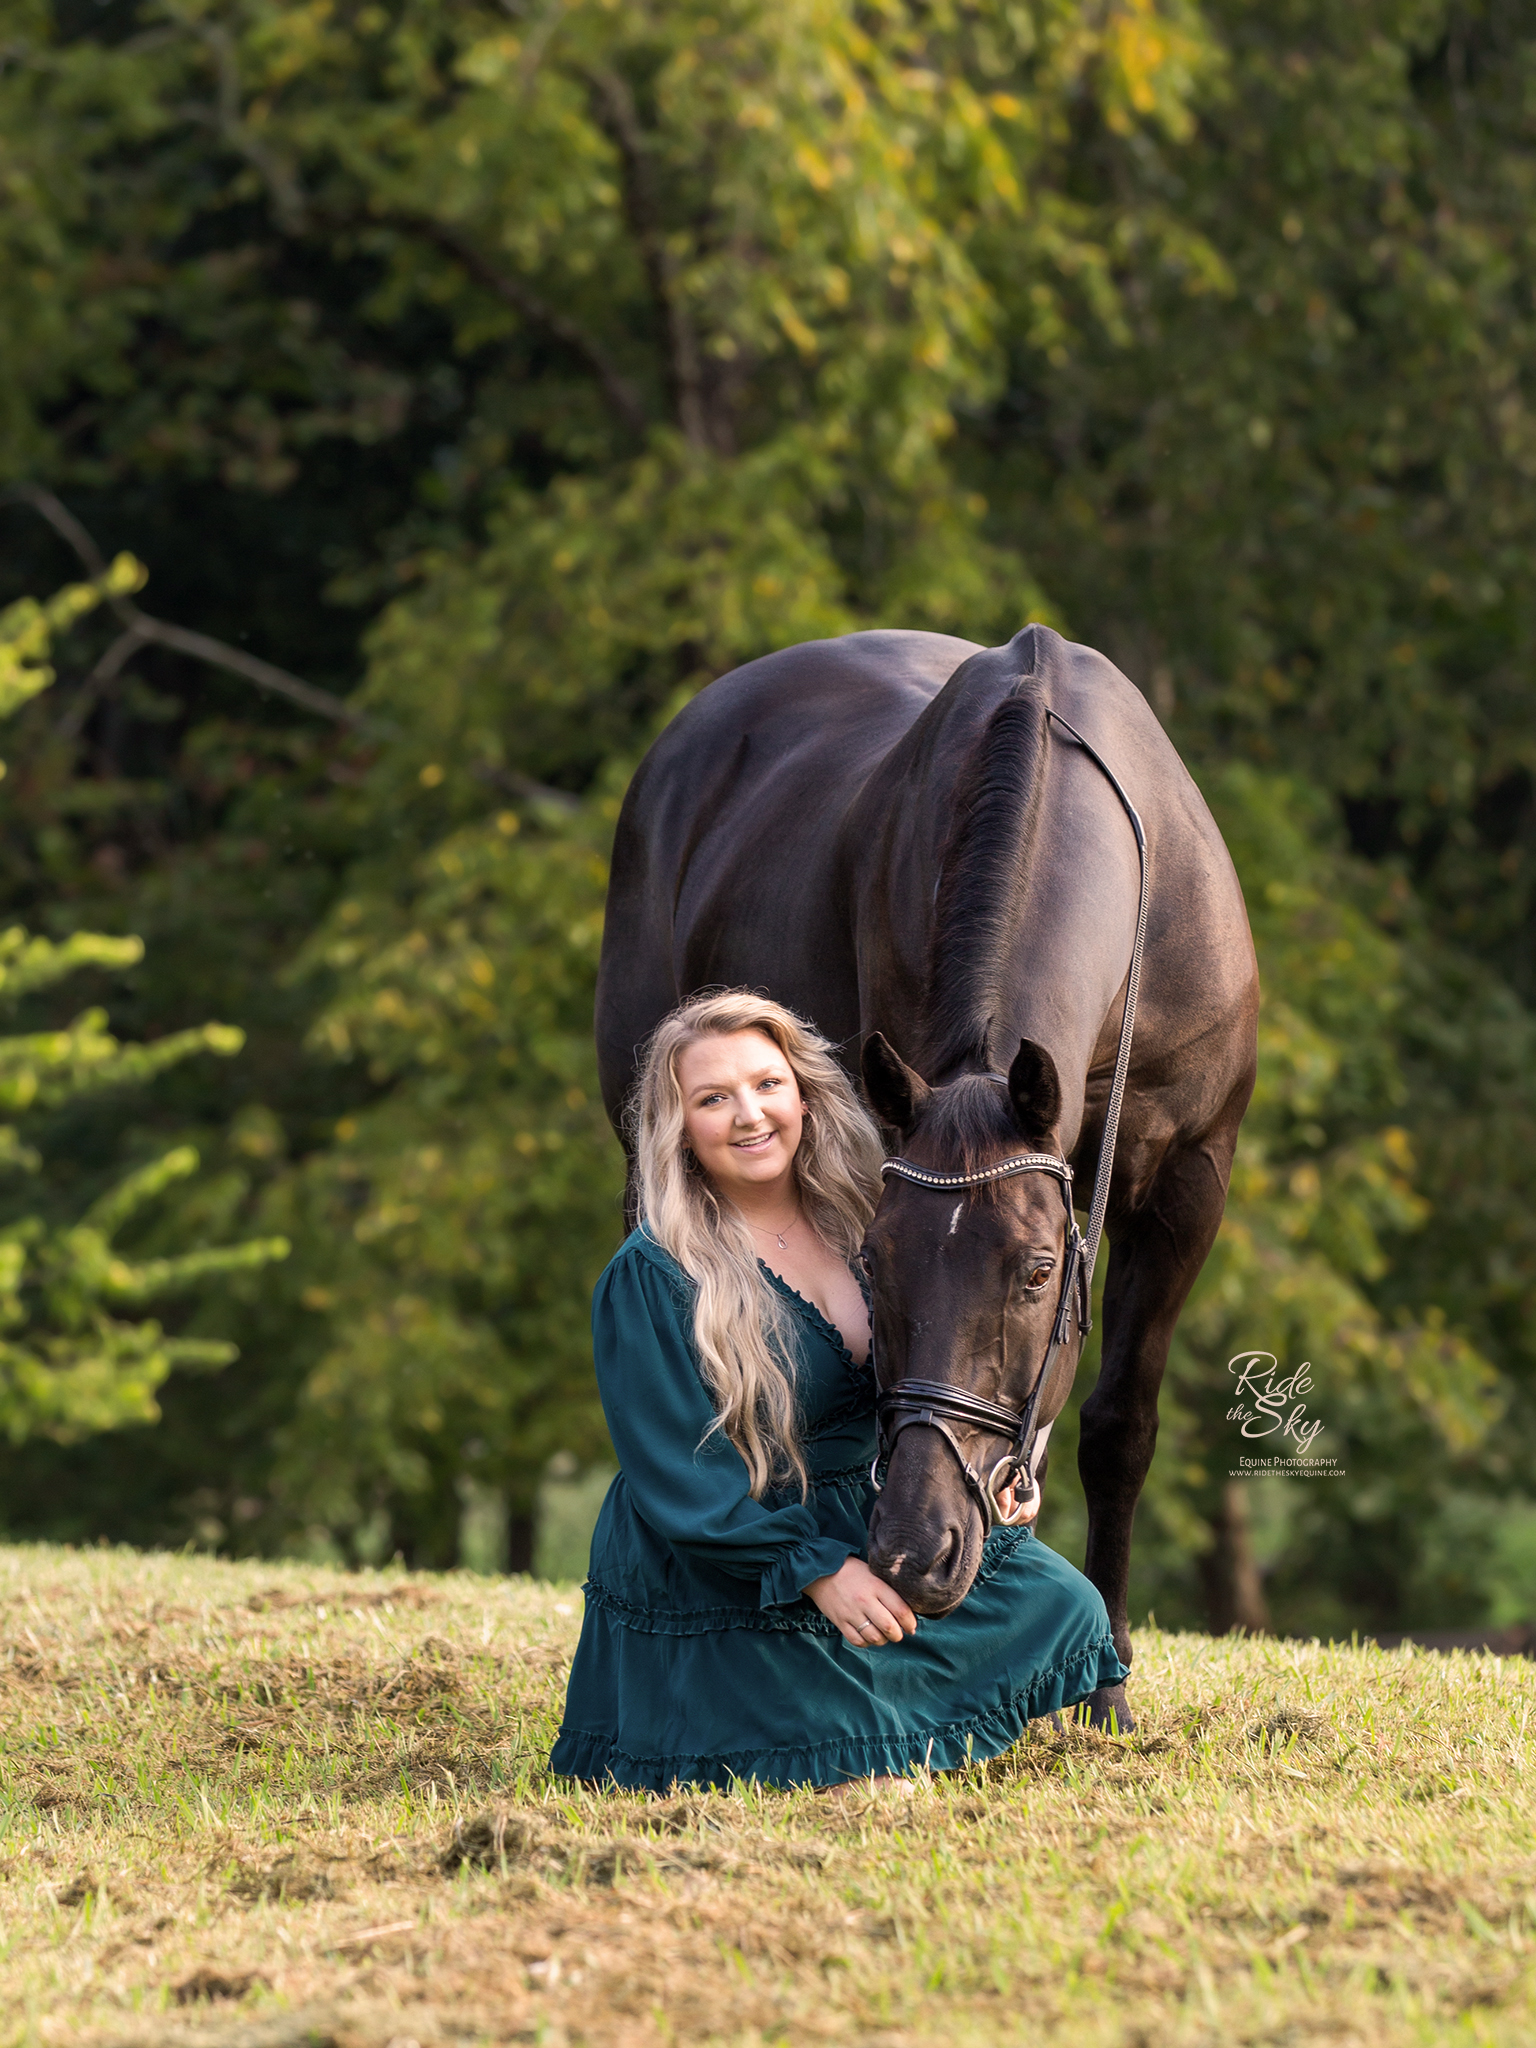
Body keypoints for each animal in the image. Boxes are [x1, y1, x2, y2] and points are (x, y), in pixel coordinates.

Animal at [593, 622, 1253, 1728]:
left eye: (1037, 1272)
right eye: (874, 1266)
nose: (911, 1550)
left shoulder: (1188, 1184)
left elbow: (1120, 1425)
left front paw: (1107, 1680)